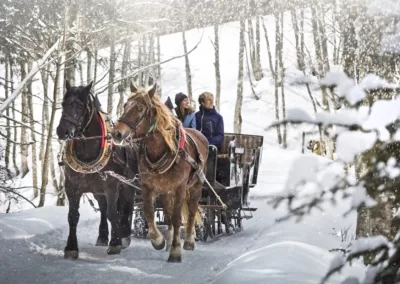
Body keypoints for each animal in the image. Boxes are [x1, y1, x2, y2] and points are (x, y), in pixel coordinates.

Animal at [55, 80, 138, 260]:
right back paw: (102, 236)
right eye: (63, 103)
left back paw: (124, 235)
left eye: (80, 106)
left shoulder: (112, 186)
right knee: (103, 209)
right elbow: (73, 217)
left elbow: (113, 213)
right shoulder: (72, 187)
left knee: (126, 207)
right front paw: (71, 248)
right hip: (97, 190)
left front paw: (115, 244)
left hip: (128, 186)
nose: (62, 131)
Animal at [110, 82, 208, 262]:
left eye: (140, 108)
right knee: (168, 215)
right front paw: (158, 240)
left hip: (196, 185)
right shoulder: (148, 186)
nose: (116, 133)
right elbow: (149, 212)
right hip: (166, 191)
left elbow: (177, 218)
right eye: (126, 105)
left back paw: (189, 240)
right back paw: (169, 241)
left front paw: (175, 251)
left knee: (191, 210)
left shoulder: (180, 188)